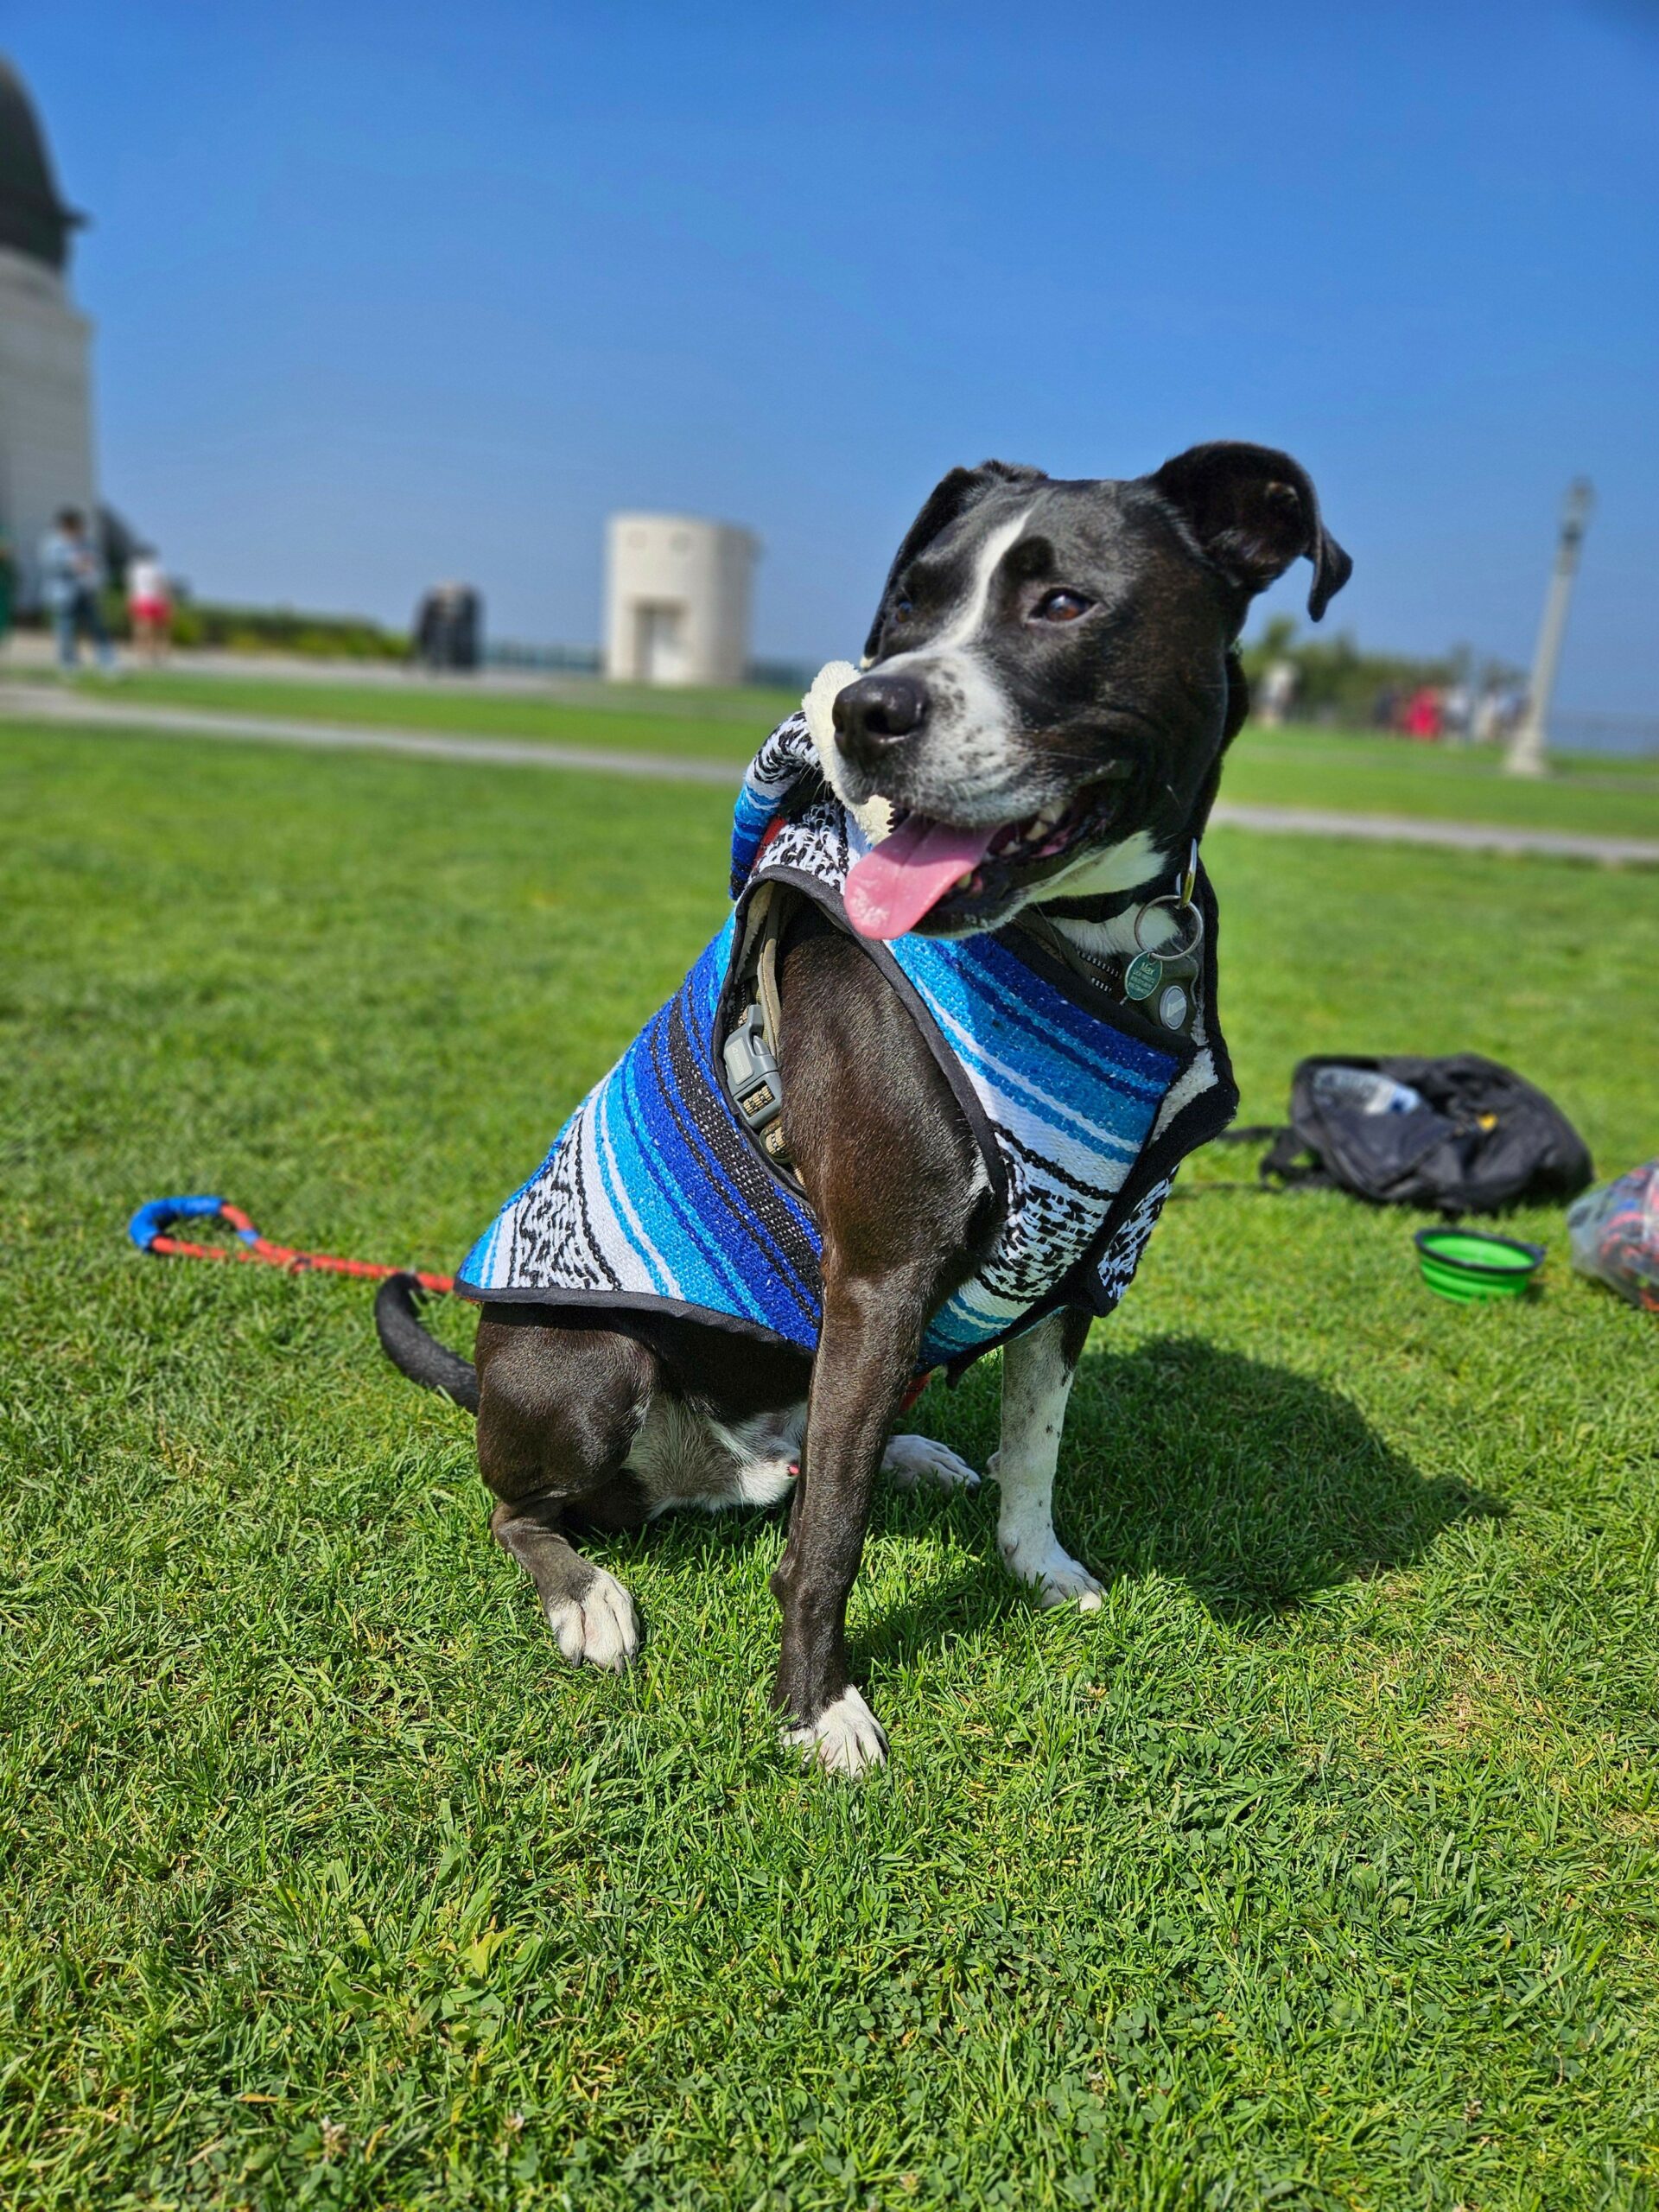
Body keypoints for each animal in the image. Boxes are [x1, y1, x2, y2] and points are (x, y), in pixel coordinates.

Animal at [379, 441, 1350, 1776]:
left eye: (1062, 603)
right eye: (908, 608)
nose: (863, 712)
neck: (1095, 946)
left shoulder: (1083, 1268)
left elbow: (1036, 1443)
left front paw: (1035, 1564)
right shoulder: (883, 1273)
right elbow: (829, 1540)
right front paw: (815, 1704)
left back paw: (914, 1449)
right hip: (587, 1369)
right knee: (522, 1507)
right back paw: (587, 1595)